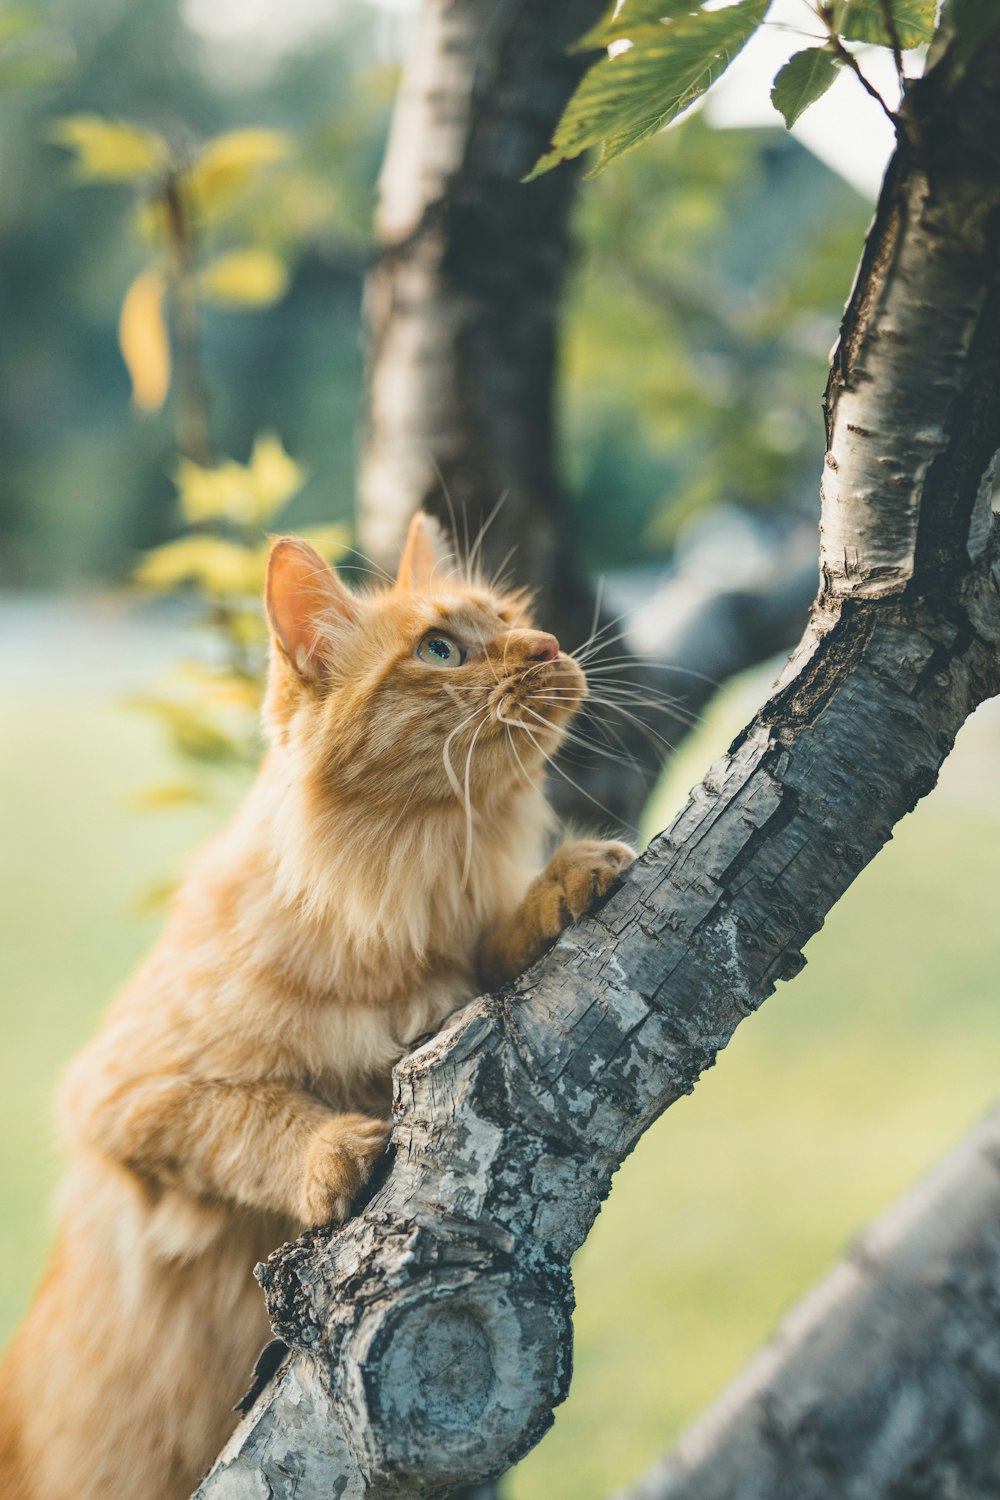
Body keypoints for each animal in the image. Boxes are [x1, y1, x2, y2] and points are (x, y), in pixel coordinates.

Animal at [0, 510, 632, 1494]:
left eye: (511, 619)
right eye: (441, 649)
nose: (548, 644)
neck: (399, 901)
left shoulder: (459, 975)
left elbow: (493, 948)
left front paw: (558, 886)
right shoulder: (123, 1096)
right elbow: (244, 1119)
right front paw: (330, 1152)